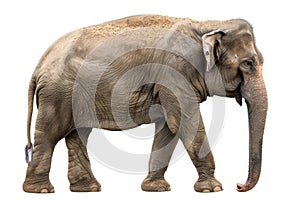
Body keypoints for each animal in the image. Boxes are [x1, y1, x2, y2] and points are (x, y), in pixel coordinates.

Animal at [22, 15, 268, 194]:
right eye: (248, 64)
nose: (239, 186)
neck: (207, 24)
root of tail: (39, 66)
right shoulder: (174, 73)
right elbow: (183, 121)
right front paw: (213, 189)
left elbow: (169, 127)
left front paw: (156, 188)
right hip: (57, 92)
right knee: (51, 133)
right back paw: (41, 190)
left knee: (77, 134)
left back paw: (87, 189)